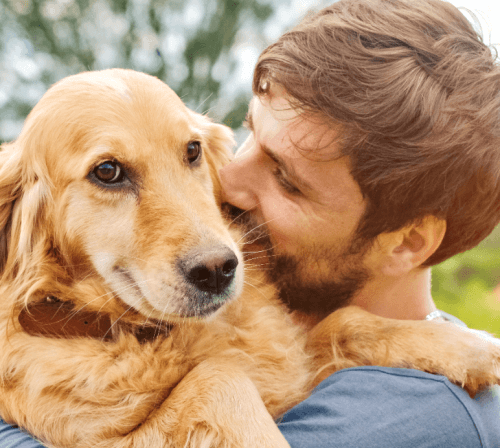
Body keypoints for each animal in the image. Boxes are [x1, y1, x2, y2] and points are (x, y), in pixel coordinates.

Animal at [0, 67, 498, 448]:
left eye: (192, 150)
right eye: (107, 172)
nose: (217, 270)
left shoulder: (296, 363)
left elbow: (344, 320)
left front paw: (468, 346)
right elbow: (219, 378)